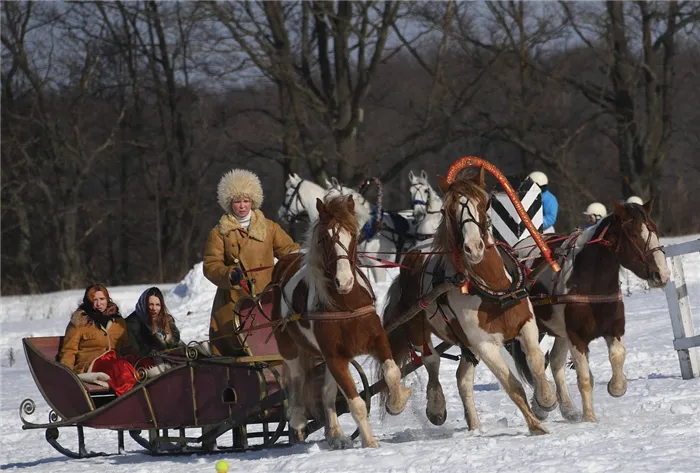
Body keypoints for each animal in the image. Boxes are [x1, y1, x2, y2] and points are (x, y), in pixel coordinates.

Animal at [268, 195, 410, 446]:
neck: (346, 304)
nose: (343, 281)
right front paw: (370, 443)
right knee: (296, 381)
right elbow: (356, 404)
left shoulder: (376, 341)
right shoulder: (335, 358)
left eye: (352, 234)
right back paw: (298, 419)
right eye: (325, 238)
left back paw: (334, 433)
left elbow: (392, 372)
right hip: (291, 349)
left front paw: (397, 402)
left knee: (326, 392)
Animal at [380, 169, 556, 436]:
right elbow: (511, 384)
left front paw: (546, 399)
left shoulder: (526, 324)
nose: (473, 248)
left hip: (466, 344)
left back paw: (474, 425)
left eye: (485, 203)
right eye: (448, 210)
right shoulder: (484, 344)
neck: (494, 289)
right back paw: (436, 405)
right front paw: (535, 424)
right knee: (431, 359)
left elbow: (535, 361)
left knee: (462, 378)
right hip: (419, 325)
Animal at [512, 201, 668, 422]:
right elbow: (584, 378)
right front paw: (590, 418)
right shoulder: (577, 337)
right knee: (535, 359)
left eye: (654, 230)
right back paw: (543, 403)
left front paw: (617, 387)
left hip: (560, 332)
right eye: (634, 234)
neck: (591, 284)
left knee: (555, 361)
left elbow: (618, 355)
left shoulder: (613, 329)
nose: (662, 274)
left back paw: (567, 409)